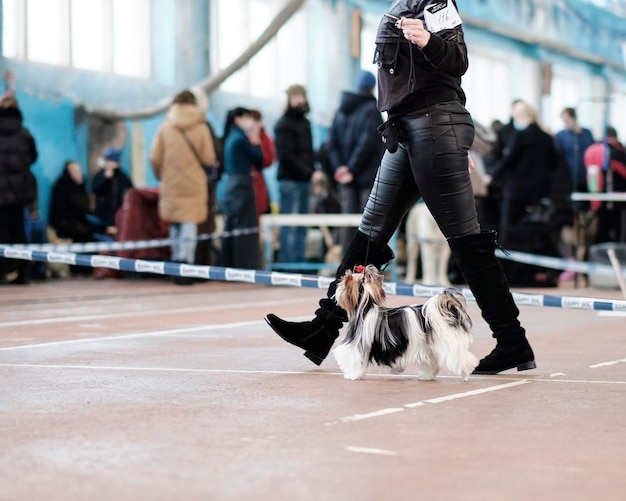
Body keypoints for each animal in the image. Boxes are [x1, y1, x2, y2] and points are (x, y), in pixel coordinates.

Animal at [334, 266, 476, 378]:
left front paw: (352, 375)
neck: (365, 308)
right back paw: (427, 376)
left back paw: (467, 372)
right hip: (429, 346)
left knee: (461, 358)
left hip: (448, 342)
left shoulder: (357, 345)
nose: (339, 283)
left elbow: (353, 360)